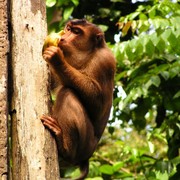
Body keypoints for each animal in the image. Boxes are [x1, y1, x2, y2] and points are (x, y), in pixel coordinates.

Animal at [40, 19, 116, 179]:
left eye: (76, 32)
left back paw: (65, 147)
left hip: (85, 144)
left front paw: (57, 60)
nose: (63, 38)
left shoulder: (105, 61)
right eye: (68, 29)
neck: (86, 54)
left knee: (68, 93)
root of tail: (87, 156)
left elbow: (98, 105)